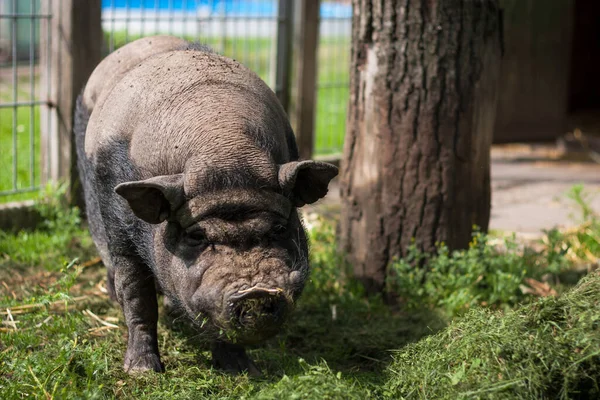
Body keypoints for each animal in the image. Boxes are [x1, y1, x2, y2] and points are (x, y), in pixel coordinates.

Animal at [74, 35, 338, 376]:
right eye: (196, 236)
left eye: (280, 228)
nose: (255, 292)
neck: (224, 151)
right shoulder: (118, 216)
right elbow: (137, 295)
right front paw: (143, 372)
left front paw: (242, 370)